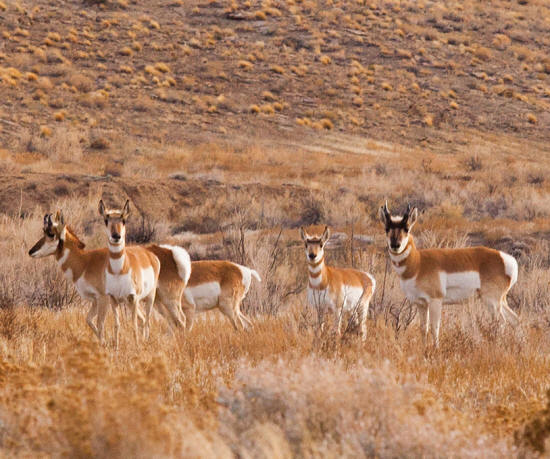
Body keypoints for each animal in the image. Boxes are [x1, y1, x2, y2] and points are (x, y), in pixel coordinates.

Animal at [382, 203, 520, 346]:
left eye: (406, 228)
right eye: (387, 228)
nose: (395, 245)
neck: (418, 263)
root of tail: (505, 258)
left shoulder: (435, 301)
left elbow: (434, 328)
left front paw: (435, 349)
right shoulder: (421, 304)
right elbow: (423, 329)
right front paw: (424, 348)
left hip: (491, 301)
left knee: (501, 322)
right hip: (500, 300)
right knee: (515, 320)